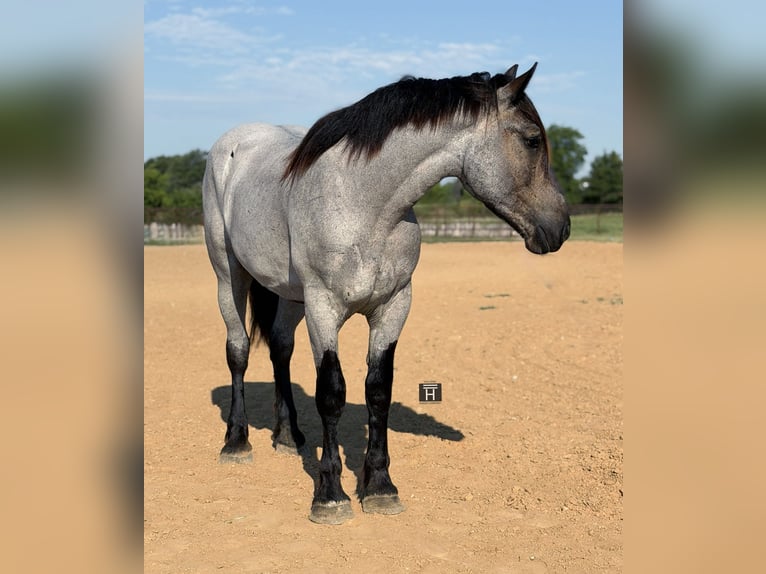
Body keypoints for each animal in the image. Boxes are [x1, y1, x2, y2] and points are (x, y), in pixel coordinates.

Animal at [202, 63, 570, 524]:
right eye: (532, 139)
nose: (562, 227)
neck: (364, 204)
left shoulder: (393, 307)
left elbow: (379, 391)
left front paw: (380, 487)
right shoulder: (324, 308)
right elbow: (331, 394)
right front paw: (330, 495)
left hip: (289, 295)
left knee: (281, 349)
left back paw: (288, 436)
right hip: (228, 276)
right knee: (238, 351)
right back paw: (237, 442)